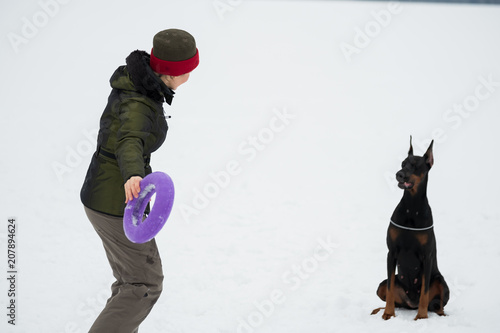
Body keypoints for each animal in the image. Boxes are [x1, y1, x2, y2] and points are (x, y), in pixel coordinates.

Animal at [372, 137, 450, 320]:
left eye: (415, 165)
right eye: (403, 163)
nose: (399, 174)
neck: (412, 207)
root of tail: (410, 304)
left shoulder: (427, 256)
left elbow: (425, 292)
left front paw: (421, 317)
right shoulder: (392, 252)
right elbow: (390, 288)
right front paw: (388, 313)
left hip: (441, 281)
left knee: (438, 304)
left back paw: (438, 314)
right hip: (382, 286)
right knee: (393, 297)